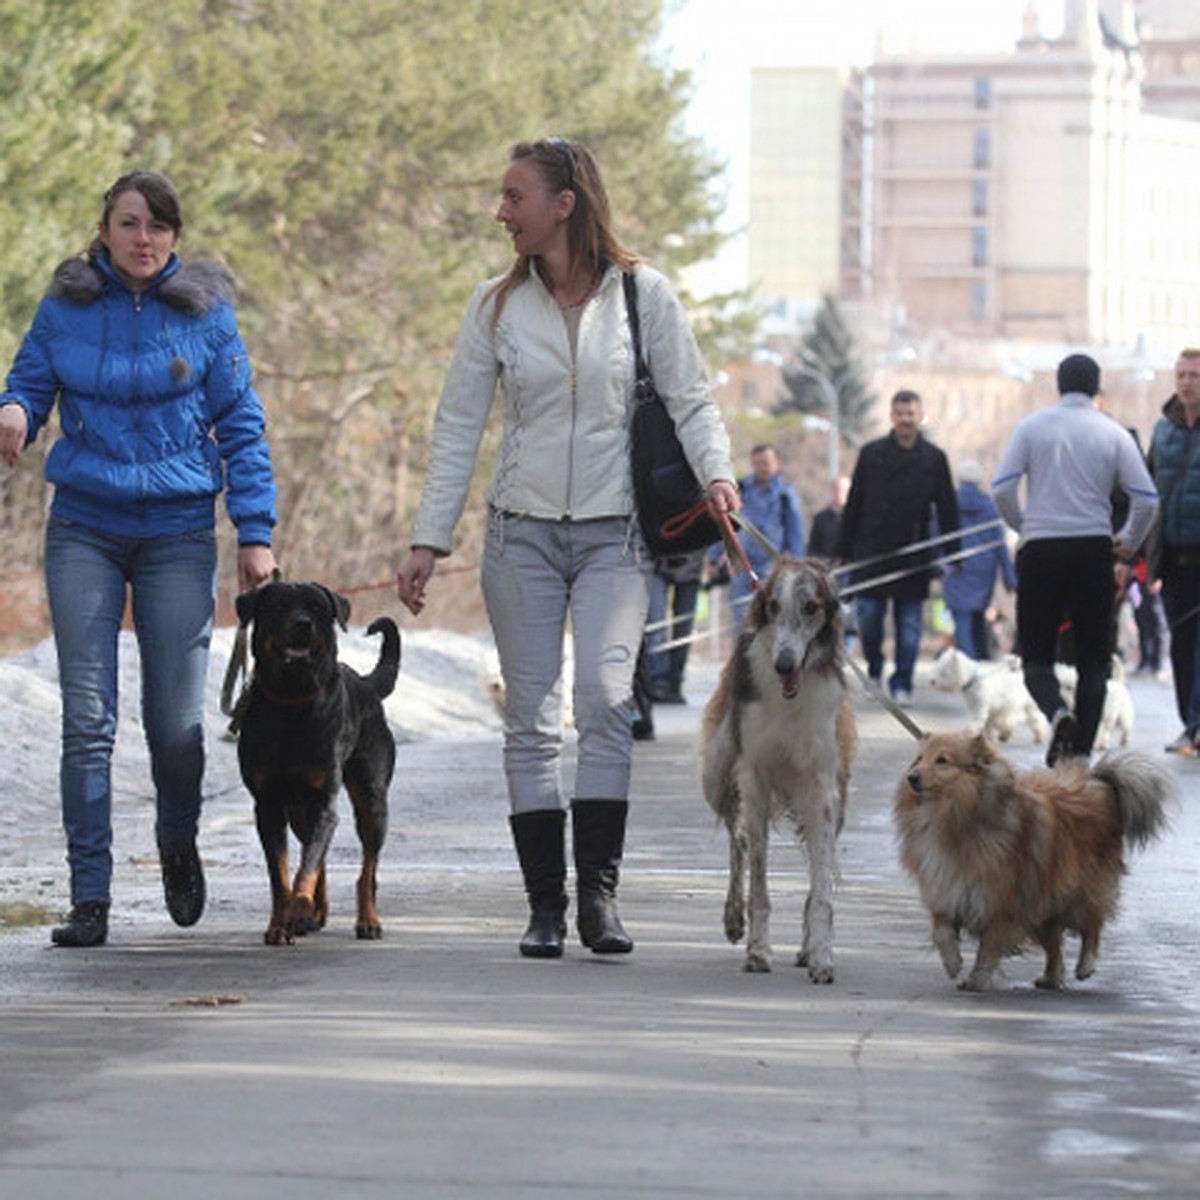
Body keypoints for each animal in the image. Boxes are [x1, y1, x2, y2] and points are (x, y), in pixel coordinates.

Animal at [700, 556, 859, 979]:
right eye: (772, 606)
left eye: (810, 606)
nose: (784, 664)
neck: (790, 702)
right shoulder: (755, 777)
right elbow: (758, 883)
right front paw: (758, 950)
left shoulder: (822, 786)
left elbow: (821, 889)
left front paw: (821, 954)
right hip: (718, 773)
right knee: (738, 840)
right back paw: (733, 918)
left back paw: (804, 948)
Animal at [897, 729, 1166, 993]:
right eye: (919, 758)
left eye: (942, 760)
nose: (912, 777)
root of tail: (1098, 782)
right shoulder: (946, 890)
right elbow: (942, 932)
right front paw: (953, 963)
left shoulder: (1001, 901)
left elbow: (988, 948)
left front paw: (976, 980)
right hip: (1042, 903)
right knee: (1055, 946)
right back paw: (1050, 978)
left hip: (1079, 892)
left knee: (1093, 924)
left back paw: (1085, 965)